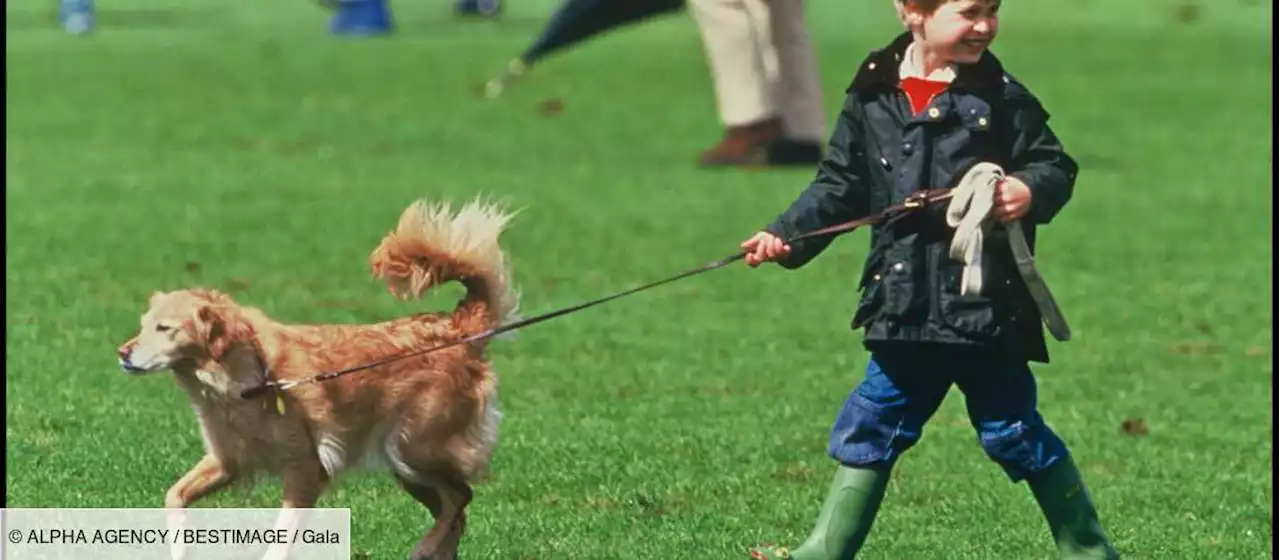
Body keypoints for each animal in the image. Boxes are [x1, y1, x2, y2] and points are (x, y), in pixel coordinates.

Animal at [119, 198, 519, 560]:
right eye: (143, 325)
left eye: (164, 328)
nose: (122, 353)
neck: (248, 378)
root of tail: (457, 328)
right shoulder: (226, 460)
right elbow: (174, 495)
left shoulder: (305, 469)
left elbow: (280, 541)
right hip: (408, 467)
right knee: (456, 508)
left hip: (411, 447)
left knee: (459, 498)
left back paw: (425, 547)